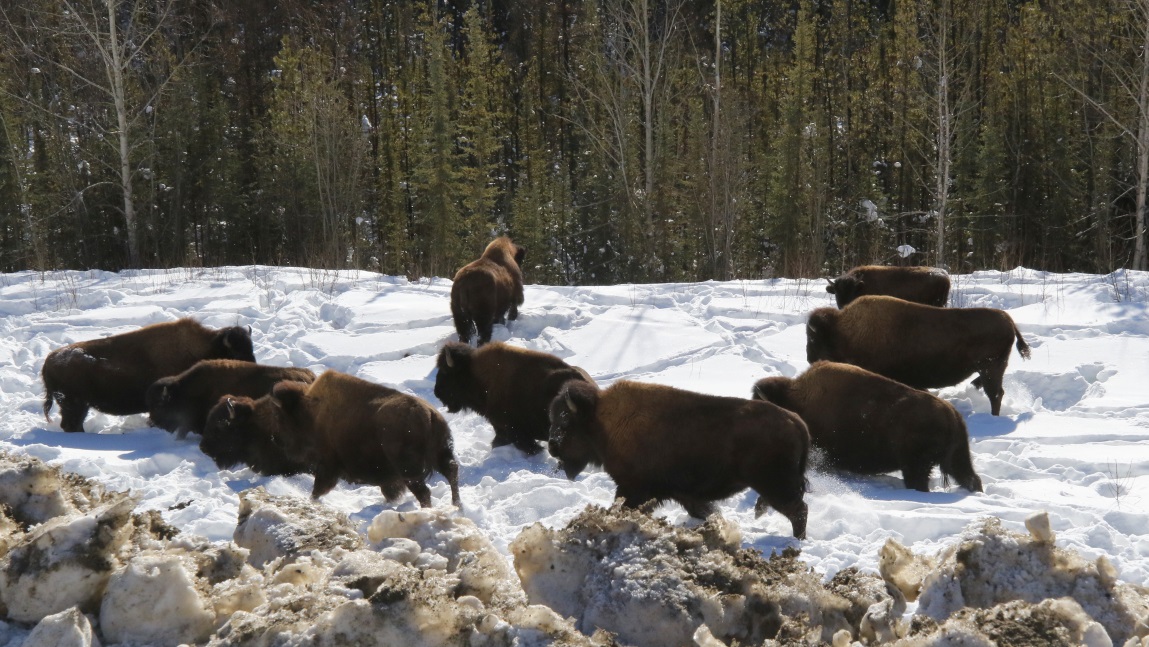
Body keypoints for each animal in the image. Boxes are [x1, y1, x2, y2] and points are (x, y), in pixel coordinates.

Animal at [42, 318, 256, 433]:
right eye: (237, 353)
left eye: (251, 348)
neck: (207, 347)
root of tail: (48, 362)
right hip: (75, 404)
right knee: (72, 424)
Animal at [207, 371, 461, 508]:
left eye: (279, 418)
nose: (276, 440)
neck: (307, 412)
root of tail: (430, 414)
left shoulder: (327, 466)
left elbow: (318, 488)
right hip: (439, 456)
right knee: (451, 473)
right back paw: (456, 507)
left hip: (410, 471)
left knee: (425, 491)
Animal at [548, 380, 810, 538]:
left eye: (565, 423)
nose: (552, 447)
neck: (601, 421)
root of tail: (796, 421)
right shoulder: (681, 494)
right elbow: (705, 510)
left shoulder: (633, 489)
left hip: (775, 485)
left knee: (799, 510)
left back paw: (797, 540)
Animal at [805, 295, 1031, 415]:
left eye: (813, 338)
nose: (809, 358)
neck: (841, 331)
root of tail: (1009, 321)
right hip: (989, 369)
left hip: (991, 368)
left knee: (996, 394)